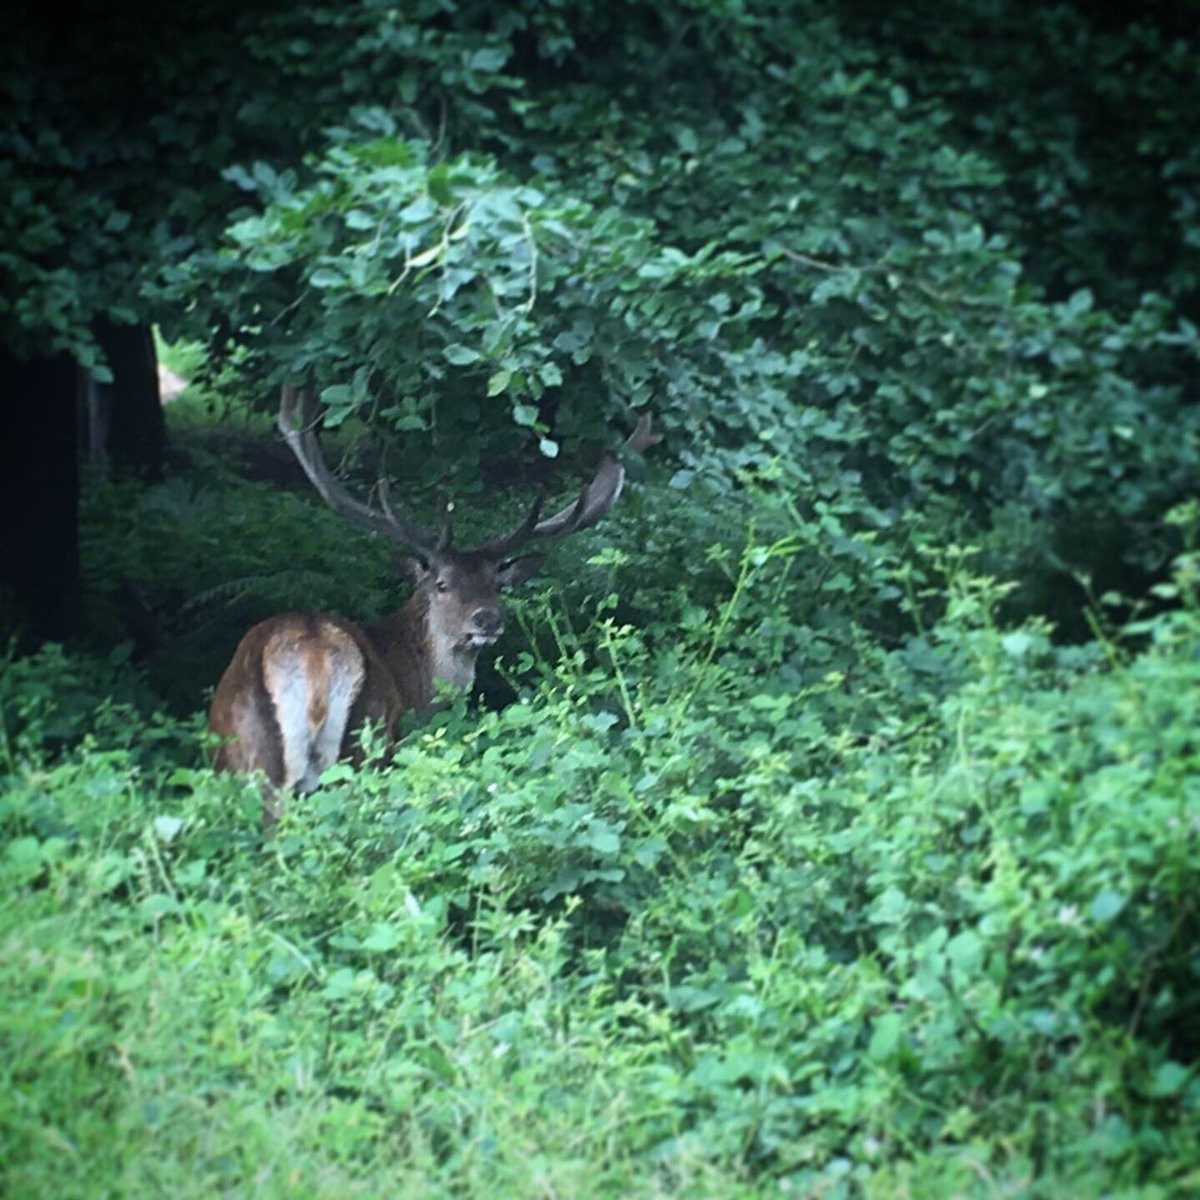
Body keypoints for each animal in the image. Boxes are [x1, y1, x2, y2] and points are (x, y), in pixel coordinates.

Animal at [206, 388, 657, 820]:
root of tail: (314, 656)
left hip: (248, 757)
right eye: (441, 584)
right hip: (364, 742)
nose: (487, 620)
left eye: (498, 584)